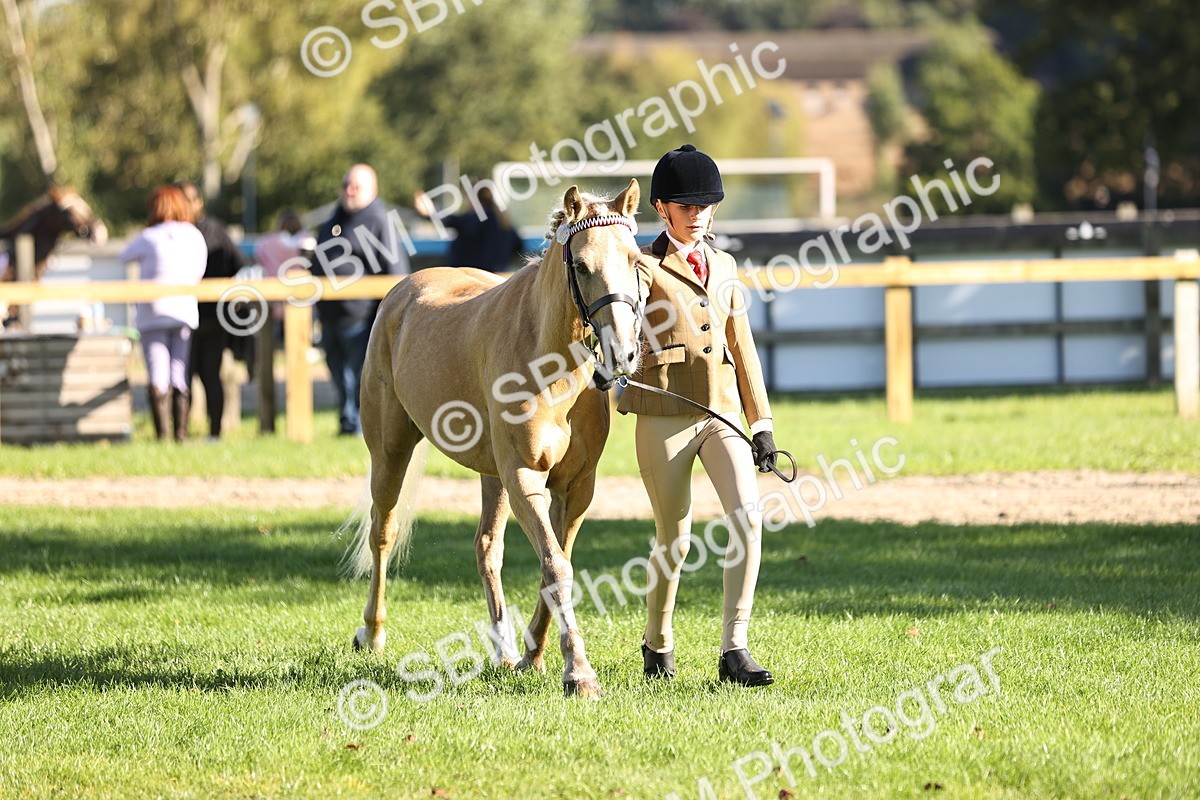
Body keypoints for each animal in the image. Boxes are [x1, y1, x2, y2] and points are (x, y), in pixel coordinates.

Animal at [343, 179, 645, 697]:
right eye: (581, 266)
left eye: (635, 259)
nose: (623, 353)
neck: (552, 366)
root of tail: (401, 293)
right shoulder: (524, 477)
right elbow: (556, 567)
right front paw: (578, 672)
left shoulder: (576, 488)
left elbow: (555, 563)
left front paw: (532, 656)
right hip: (391, 453)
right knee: (383, 532)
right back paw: (372, 632)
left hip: (492, 476)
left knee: (487, 547)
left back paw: (503, 650)